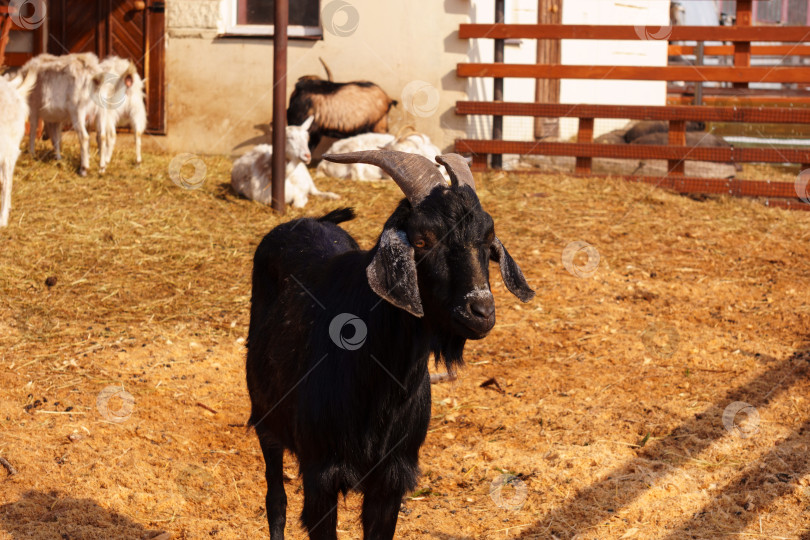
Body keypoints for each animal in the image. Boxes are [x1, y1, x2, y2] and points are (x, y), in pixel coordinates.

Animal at [246, 150, 536, 536]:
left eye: (489, 239)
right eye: (422, 240)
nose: (481, 311)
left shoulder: (392, 478)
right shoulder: (320, 473)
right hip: (265, 417)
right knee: (275, 498)